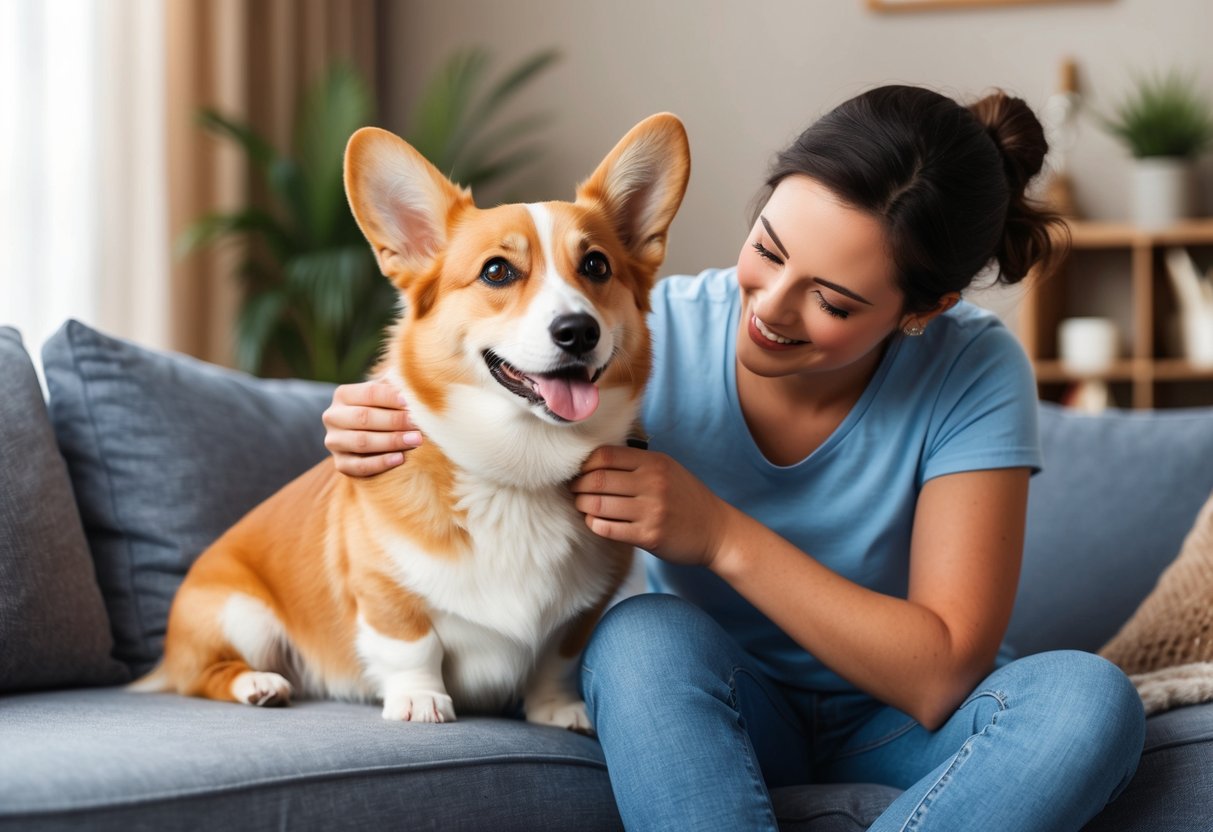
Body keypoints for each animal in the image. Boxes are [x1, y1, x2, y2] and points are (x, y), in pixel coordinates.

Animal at [134, 112, 693, 727]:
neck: (518, 474)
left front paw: (557, 710)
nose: (578, 330)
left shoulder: (580, 615)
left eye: (596, 266)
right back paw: (259, 683)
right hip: (241, 615)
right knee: (205, 675)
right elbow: (411, 643)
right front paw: (419, 700)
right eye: (497, 271)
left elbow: (556, 660)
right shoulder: (381, 587)